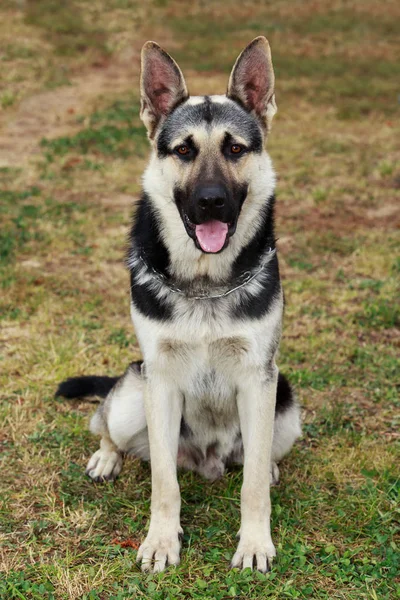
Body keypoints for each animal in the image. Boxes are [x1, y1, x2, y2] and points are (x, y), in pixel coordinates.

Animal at [56, 36, 302, 572]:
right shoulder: (161, 382)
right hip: (134, 395)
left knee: (259, 458)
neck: (205, 284)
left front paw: (255, 542)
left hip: (286, 407)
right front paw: (161, 541)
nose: (210, 201)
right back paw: (107, 456)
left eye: (235, 149)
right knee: (104, 421)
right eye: (184, 150)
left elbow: (252, 483)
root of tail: (206, 461)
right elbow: (163, 482)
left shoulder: (259, 380)